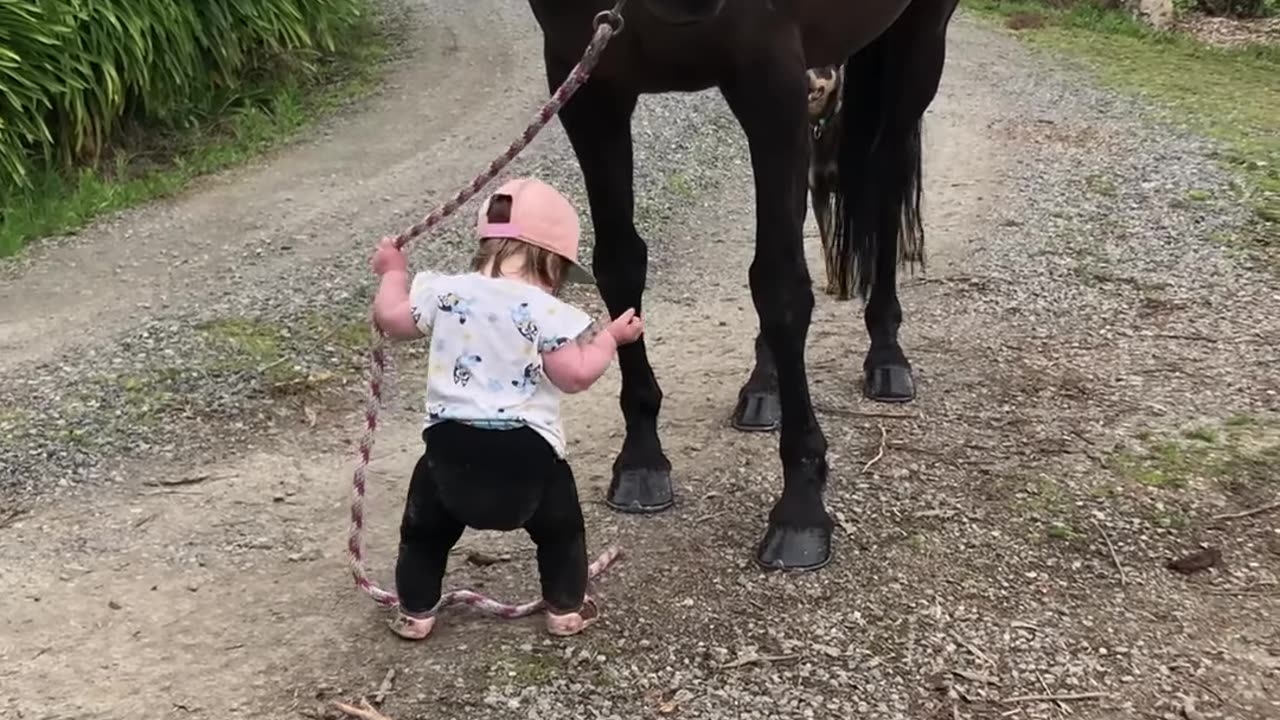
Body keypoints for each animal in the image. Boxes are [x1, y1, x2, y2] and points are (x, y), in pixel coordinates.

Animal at [527, 0, 962, 568]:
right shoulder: (592, 85)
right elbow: (619, 265)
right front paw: (641, 459)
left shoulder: (769, 78)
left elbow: (780, 286)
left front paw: (801, 506)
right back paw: (764, 386)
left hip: (918, 41)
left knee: (885, 177)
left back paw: (887, 357)